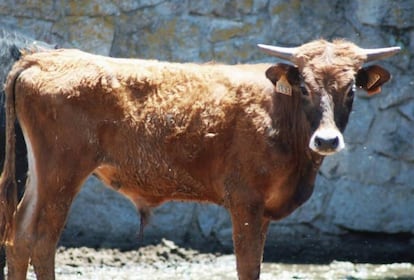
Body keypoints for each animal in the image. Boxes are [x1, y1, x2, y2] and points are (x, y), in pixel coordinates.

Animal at [0, 38, 398, 278]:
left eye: (350, 90)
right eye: (304, 88)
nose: (327, 139)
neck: (280, 113)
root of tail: (43, 57)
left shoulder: (262, 212)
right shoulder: (246, 203)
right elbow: (247, 266)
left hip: (43, 176)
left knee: (19, 237)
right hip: (61, 174)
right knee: (41, 240)